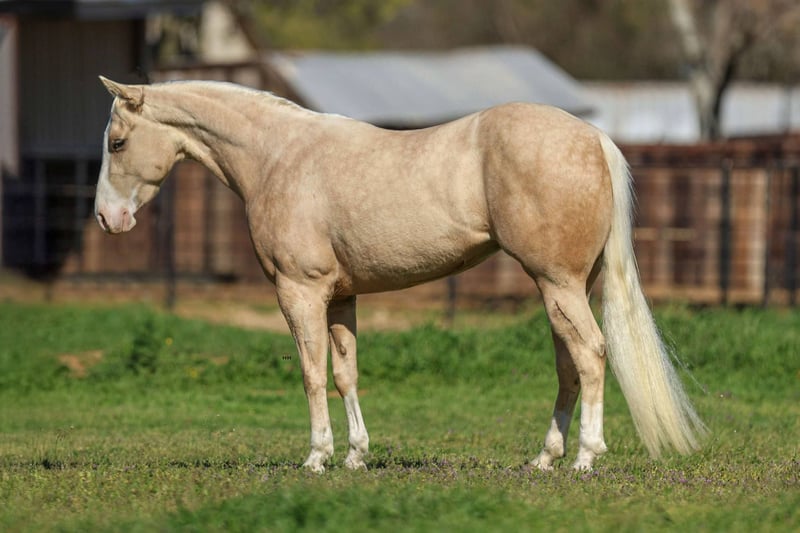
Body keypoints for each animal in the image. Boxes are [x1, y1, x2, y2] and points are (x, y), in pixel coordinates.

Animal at [94, 76, 706, 472]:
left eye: (117, 142)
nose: (107, 218)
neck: (278, 156)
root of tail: (592, 138)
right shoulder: (341, 298)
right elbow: (346, 374)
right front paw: (356, 456)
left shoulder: (299, 292)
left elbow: (311, 374)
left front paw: (316, 458)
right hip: (564, 288)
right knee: (569, 367)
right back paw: (544, 458)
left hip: (558, 284)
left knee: (593, 355)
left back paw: (584, 458)